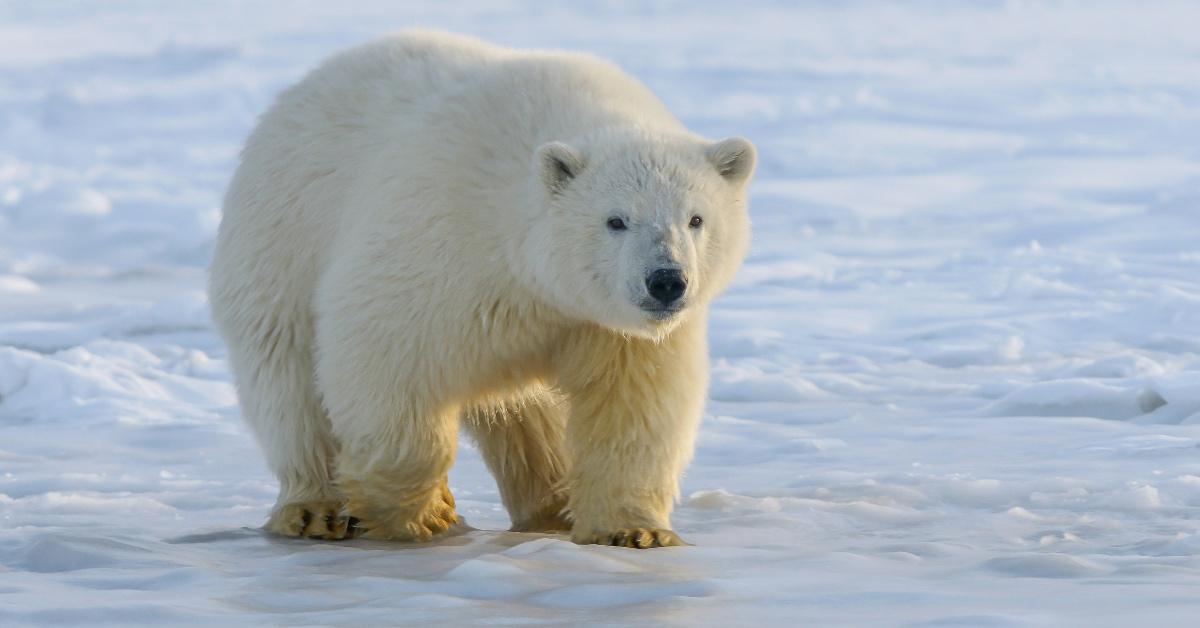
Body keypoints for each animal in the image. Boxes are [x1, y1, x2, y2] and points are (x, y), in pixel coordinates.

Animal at [206, 31, 748, 547]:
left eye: (696, 219)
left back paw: (551, 504)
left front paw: (635, 531)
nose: (666, 281)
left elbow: (632, 406)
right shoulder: (440, 239)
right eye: (616, 220)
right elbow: (384, 353)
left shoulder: (606, 326)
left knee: (528, 417)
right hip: (282, 241)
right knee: (289, 381)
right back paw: (313, 509)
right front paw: (420, 512)